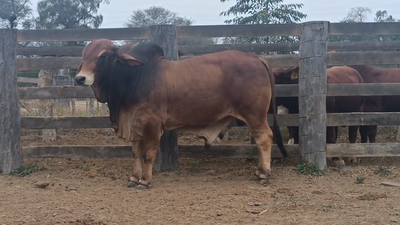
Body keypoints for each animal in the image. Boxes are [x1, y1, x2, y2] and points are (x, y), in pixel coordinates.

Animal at [74, 39, 288, 190]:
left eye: (102, 56)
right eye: (83, 55)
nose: (79, 78)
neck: (134, 77)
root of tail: (255, 57)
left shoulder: (152, 125)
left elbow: (149, 154)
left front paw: (144, 181)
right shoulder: (135, 125)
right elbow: (136, 153)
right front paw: (133, 178)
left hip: (255, 115)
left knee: (264, 138)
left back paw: (263, 174)